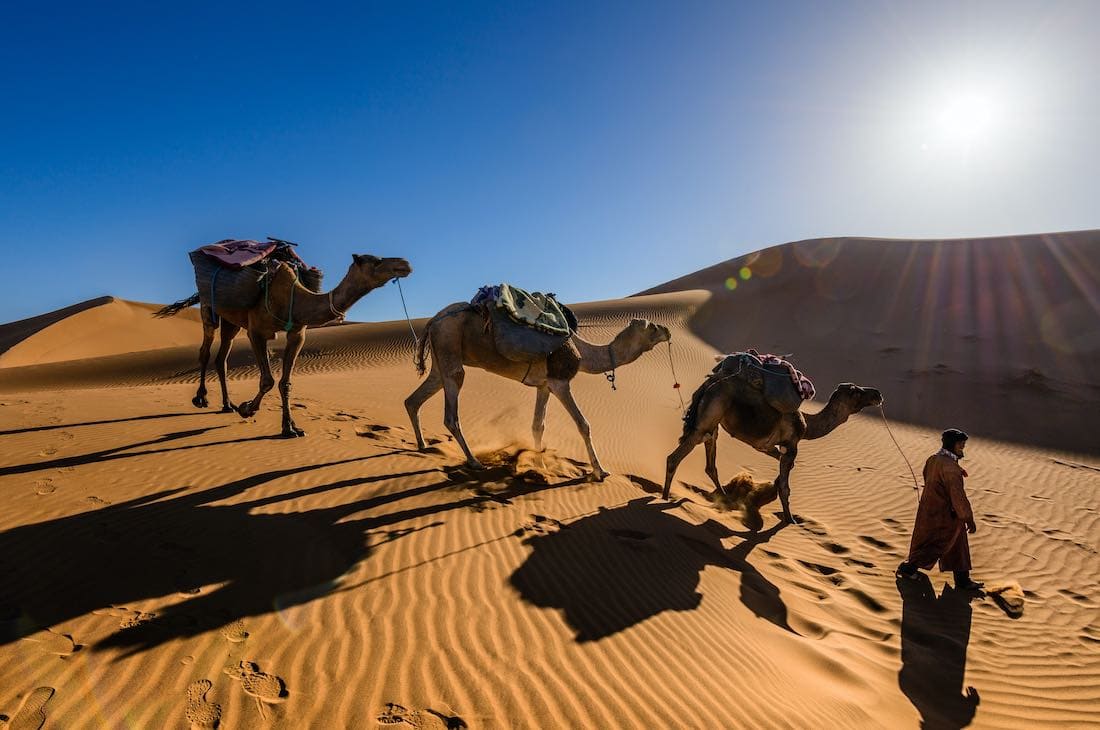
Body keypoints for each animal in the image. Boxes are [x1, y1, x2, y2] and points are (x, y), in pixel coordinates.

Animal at [157, 253, 411, 435]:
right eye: (376, 260)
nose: (404, 264)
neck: (294, 298)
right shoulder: (256, 331)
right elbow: (267, 380)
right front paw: (247, 409)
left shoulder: (297, 333)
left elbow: (285, 383)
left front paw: (289, 427)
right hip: (208, 307)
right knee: (205, 351)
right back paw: (201, 398)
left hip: (232, 322)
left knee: (222, 359)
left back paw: (227, 404)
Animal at [407, 301, 668, 479]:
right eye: (651, 327)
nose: (667, 330)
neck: (582, 352)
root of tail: (433, 321)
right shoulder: (560, 382)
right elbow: (583, 424)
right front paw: (600, 471)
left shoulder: (544, 385)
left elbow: (537, 425)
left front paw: (539, 465)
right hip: (449, 344)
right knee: (451, 411)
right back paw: (473, 462)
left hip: (440, 360)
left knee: (414, 399)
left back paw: (423, 446)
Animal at [660, 364, 884, 525]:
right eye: (855, 391)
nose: (878, 394)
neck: (807, 426)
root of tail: (709, 385)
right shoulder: (792, 445)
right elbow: (786, 487)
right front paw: (790, 520)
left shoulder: (767, 446)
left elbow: (780, 463)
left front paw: (772, 488)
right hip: (707, 419)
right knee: (675, 458)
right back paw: (664, 498)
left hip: (713, 424)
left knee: (710, 462)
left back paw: (725, 498)